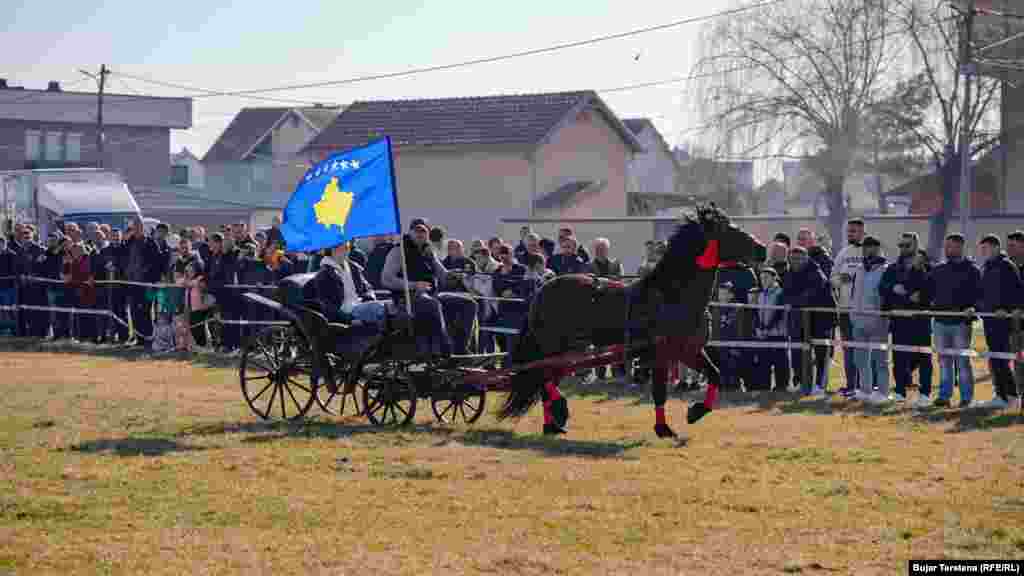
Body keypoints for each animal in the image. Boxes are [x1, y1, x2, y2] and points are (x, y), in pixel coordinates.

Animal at [495, 204, 770, 434]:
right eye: (729, 231)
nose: (762, 249)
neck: (673, 296)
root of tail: (541, 290)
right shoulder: (662, 354)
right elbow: (659, 392)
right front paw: (664, 429)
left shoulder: (689, 350)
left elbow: (715, 374)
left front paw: (695, 412)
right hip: (558, 347)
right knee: (542, 378)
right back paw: (559, 413)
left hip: (562, 351)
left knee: (544, 379)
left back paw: (553, 425)